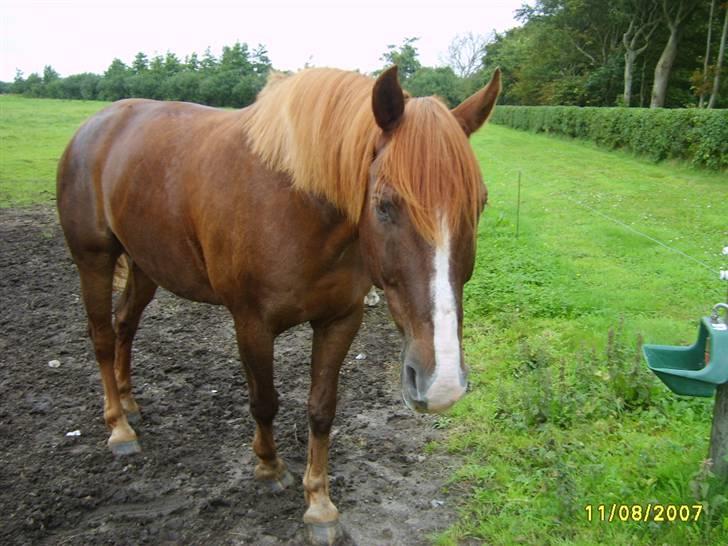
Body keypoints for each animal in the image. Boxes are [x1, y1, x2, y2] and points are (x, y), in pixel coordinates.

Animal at [55, 63, 500, 540]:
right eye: (384, 205)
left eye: (480, 204)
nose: (443, 384)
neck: (296, 203)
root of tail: (95, 125)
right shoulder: (252, 323)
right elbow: (264, 400)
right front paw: (269, 467)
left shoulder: (341, 320)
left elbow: (322, 409)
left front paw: (319, 504)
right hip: (94, 260)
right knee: (102, 336)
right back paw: (119, 428)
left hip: (146, 264)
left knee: (125, 324)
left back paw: (130, 403)